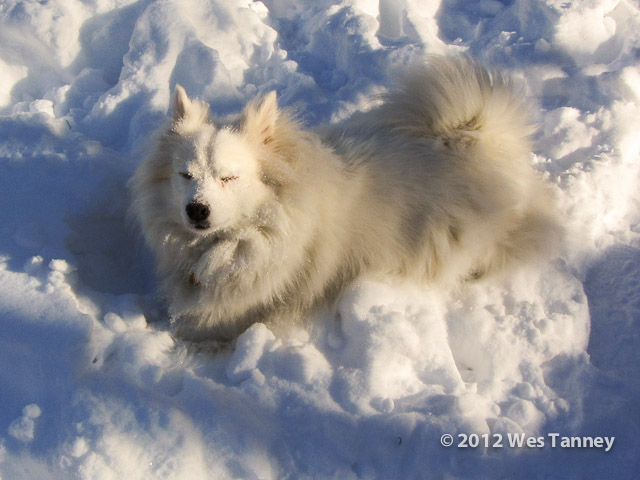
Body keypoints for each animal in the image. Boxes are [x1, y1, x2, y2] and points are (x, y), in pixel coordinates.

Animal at [130, 56, 561, 342]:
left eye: (229, 177)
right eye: (186, 175)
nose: (196, 210)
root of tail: (473, 138)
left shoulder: (240, 311)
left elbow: (199, 322)